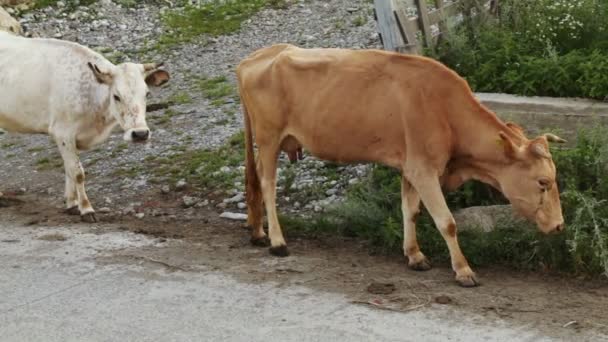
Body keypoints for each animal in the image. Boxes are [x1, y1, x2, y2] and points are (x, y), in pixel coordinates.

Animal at [0, 32, 169, 222]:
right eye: (116, 96)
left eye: (147, 94)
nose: (140, 134)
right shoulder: (63, 133)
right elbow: (77, 172)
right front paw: (87, 209)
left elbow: (68, 169)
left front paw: (72, 204)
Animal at [236, 44, 564, 286]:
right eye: (543, 182)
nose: (560, 225)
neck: (444, 109)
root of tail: (258, 56)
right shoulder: (424, 169)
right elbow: (447, 221)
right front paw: (463, 270)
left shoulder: (411, 166)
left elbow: (411, 211)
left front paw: (414, 255)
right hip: (268, 138)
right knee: (268, 184)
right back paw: (277, 242)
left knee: (256, 179)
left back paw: (258, 232)